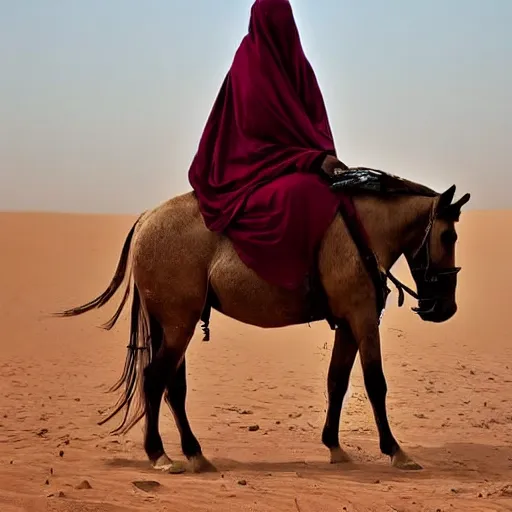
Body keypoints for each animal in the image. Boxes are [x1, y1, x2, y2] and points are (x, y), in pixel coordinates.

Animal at [57, 171, 472, 472]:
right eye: (448, 235)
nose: (445, 308)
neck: (362, 230)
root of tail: (145, 220)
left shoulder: (348, 323)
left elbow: (337, 382)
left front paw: (334, 446)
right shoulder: (363, 317)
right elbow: (375, 383)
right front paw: (396, 451)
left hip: (170, 325)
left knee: (172, 386)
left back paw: (194, 453)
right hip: (179, 324)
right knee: (155, 378)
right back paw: (160, 455)